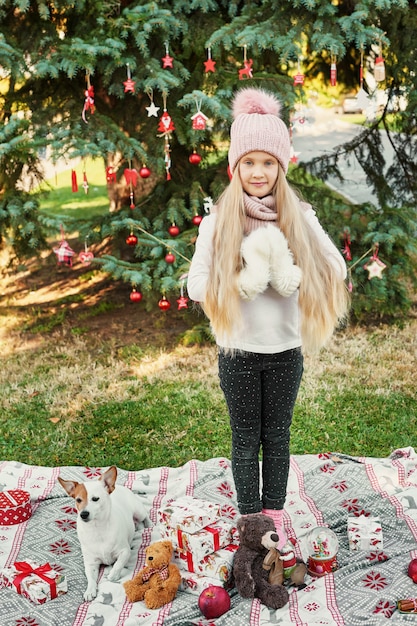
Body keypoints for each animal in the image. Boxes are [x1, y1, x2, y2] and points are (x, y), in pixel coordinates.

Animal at [57, 464, 150, 600]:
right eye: (78, 500)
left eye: (95, 499)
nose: (83, 514)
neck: (97, 529)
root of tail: (119, 486)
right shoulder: (91, 563)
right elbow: (91, 579)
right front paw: (89, 590)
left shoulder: (125, 551)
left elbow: (118, 563)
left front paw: (113, 575)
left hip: (139, 511)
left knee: (145, 516)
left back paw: (149, 524)